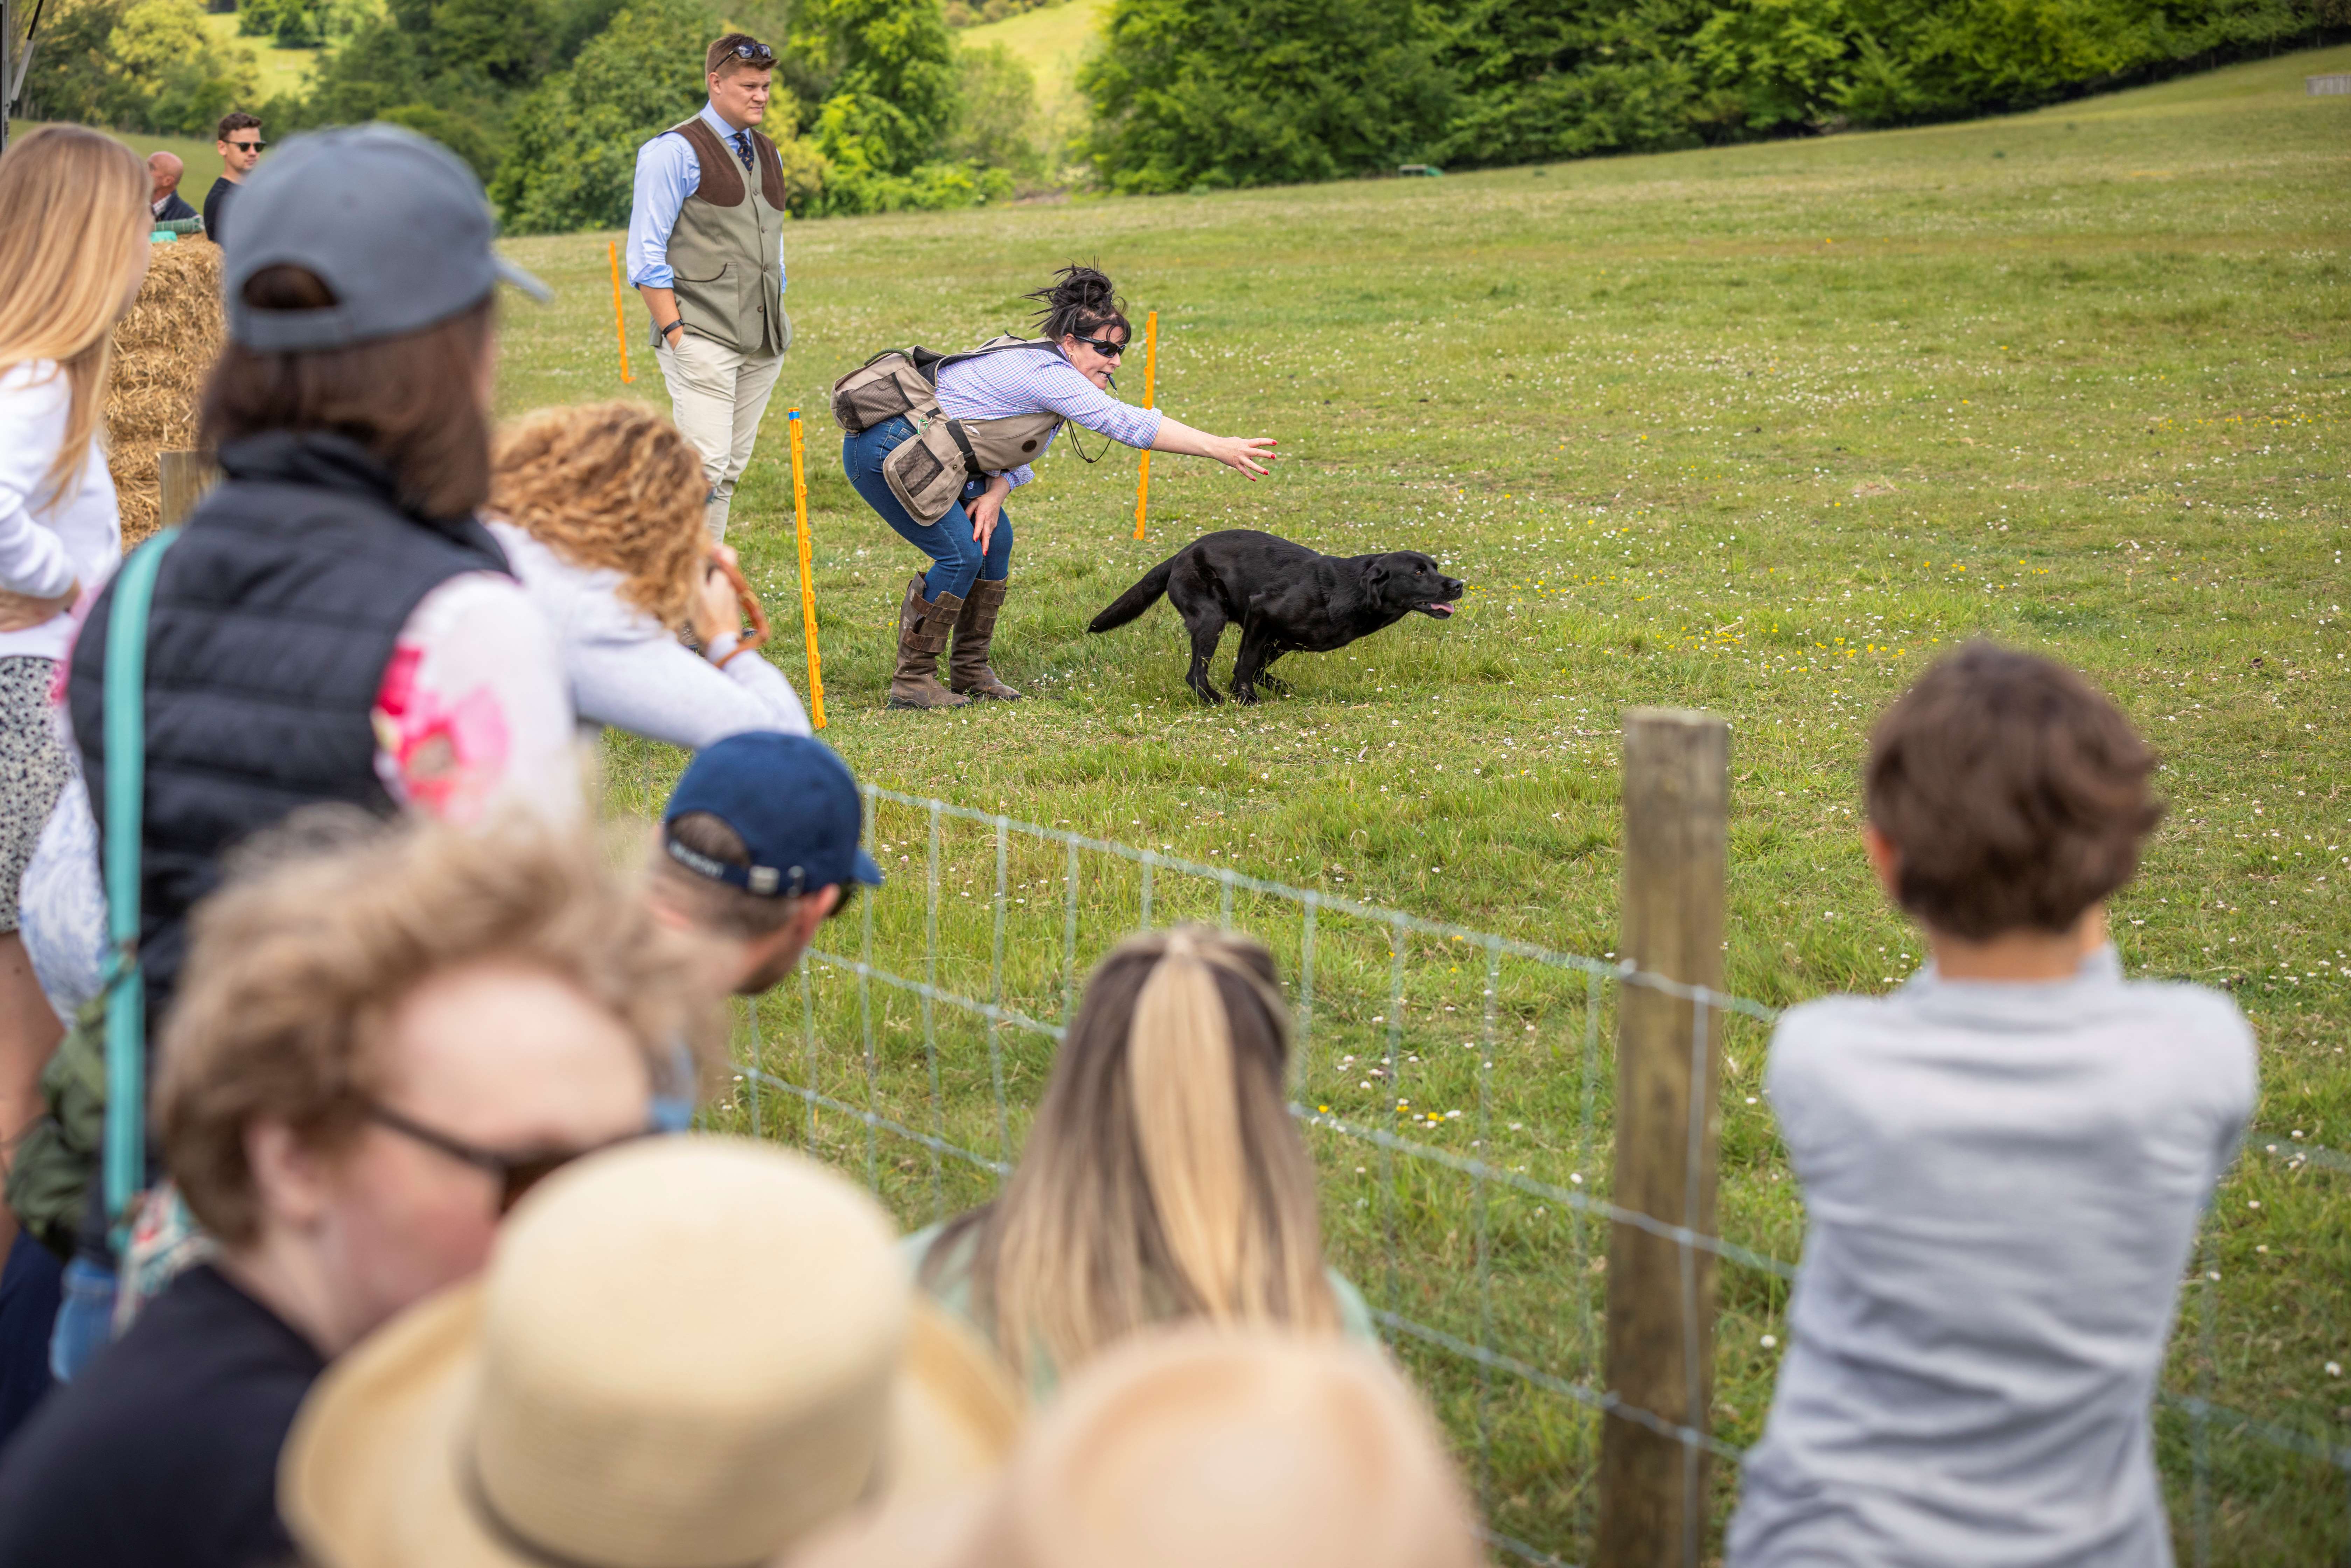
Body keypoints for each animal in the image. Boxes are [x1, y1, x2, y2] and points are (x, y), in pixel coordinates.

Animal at [1086, 531, 1457, 710]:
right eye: (1418, 572)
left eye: (1435, 567)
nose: (1458, 585)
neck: (1352, 590)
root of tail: (1181, 553)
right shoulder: (1261, 613)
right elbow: (1246, 664)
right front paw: (1246, 698)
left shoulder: (1282, 639)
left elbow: (1255, 668)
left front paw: (1274, 689)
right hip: (1210, 618)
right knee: (1195, 673)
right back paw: (1214, 700)